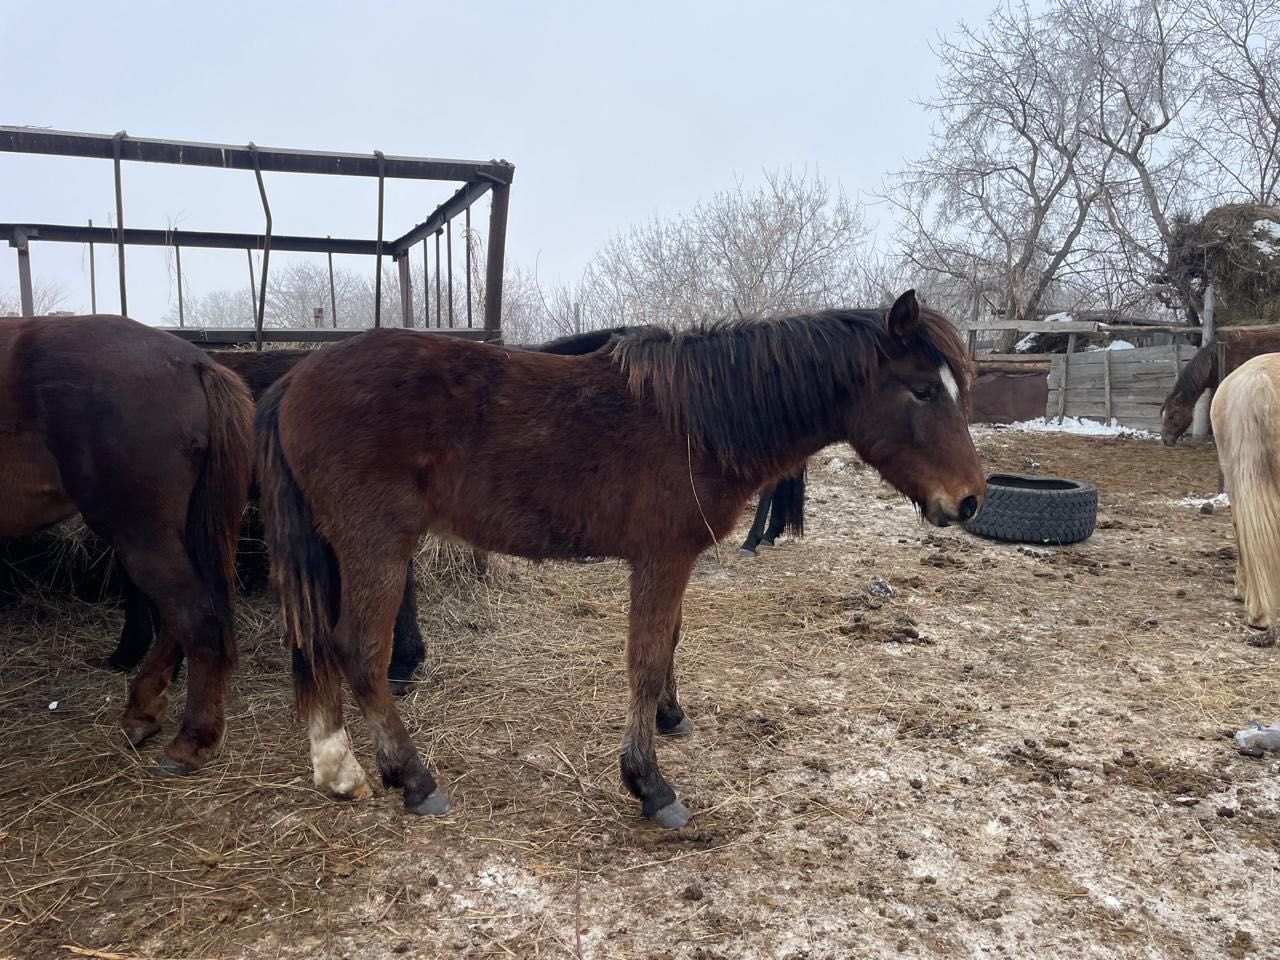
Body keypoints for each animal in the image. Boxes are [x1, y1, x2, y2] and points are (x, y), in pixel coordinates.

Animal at [257, 289, 977, 829]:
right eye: (921, 390)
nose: (969, 500)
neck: (697, 423)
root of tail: (295, 377)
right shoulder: (661, 558)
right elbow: (647, 660)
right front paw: (649, 785)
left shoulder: (671, 561)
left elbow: (670, 644)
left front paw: (672, 718)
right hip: (376, 545)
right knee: (359, 651)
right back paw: (413, 778)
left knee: (320, 644)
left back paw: (338, 768)